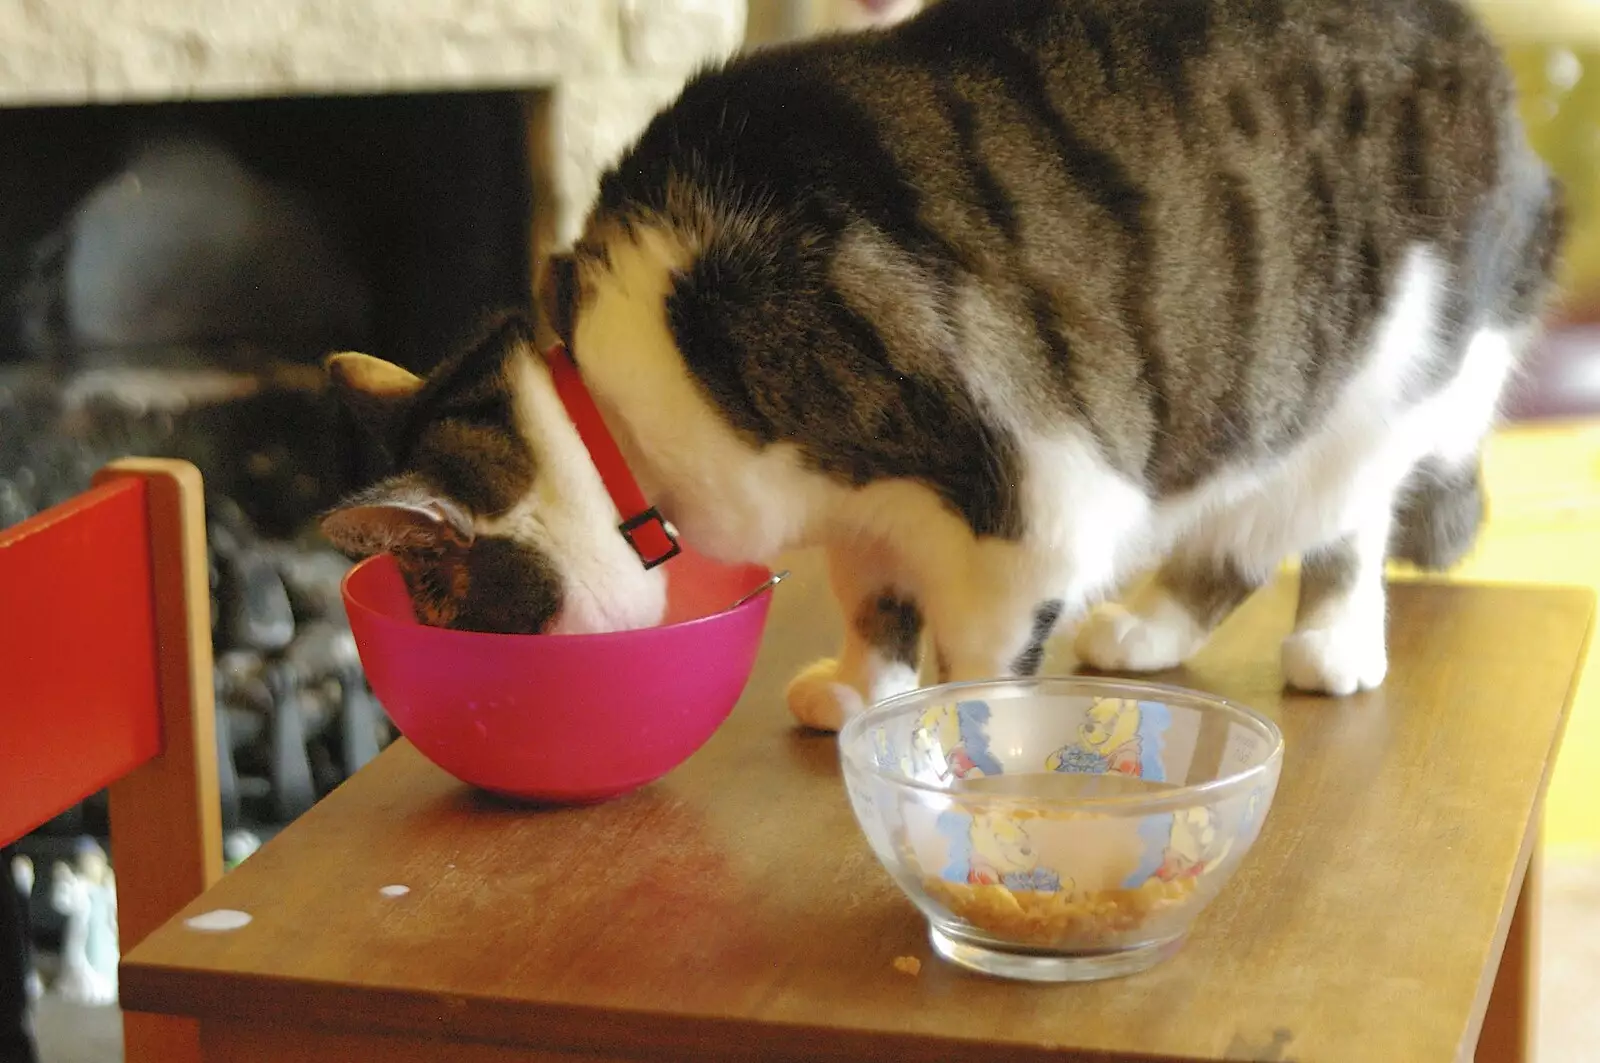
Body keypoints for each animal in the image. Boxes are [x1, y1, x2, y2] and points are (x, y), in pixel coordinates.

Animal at [315, 0, 1561, 730]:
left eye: (450, 627)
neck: (626, 396)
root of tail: (1483, 56)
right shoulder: (872, 518)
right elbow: (876, 605)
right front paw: (860, 692)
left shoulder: (1033, 503)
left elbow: (983, 660)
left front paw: (949, 760)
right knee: (1249, 531)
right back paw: (1148, 631)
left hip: (1375, 386)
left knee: (1339, 528)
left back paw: (1330, 645)